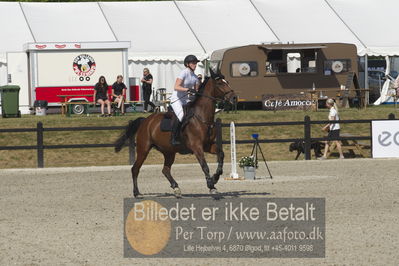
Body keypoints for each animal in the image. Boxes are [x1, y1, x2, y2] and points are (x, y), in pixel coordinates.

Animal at [114, 69, 236, 198]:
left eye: (227, 82)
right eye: (220, 83)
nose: (234, 98)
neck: (201, 117)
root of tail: (145, 121)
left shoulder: (208, 145)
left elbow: (221, 154)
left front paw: (215, 178)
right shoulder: (196, 147)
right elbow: (204, 166)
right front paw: (211, 185)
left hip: (169, 152)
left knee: (165, 170)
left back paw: (176, 188)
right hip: (144, 149)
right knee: (135, 169)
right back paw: (136, 192)